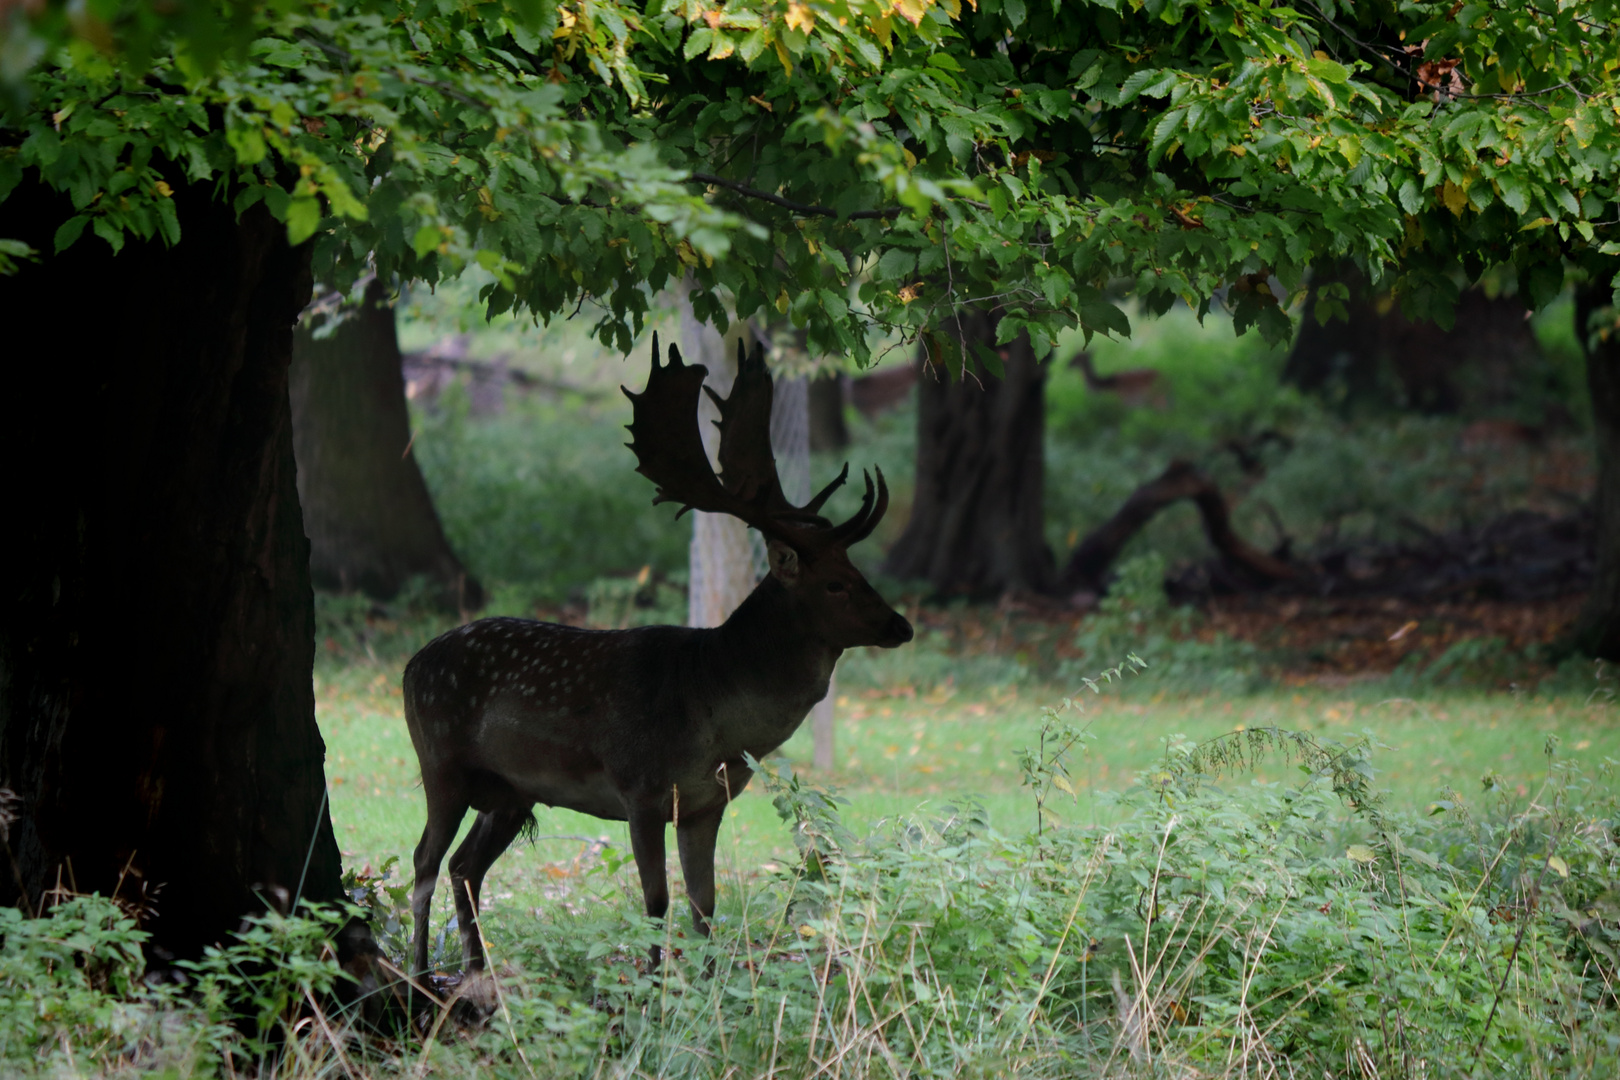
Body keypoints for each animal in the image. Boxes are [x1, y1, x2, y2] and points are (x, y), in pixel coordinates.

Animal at [401, 335, 913, 977]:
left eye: (857, 569)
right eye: (836, 584)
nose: (901, 624)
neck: (712, 712)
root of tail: (409, 666)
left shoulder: (705, 803)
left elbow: (705, 904)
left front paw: (711, 986)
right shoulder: (638, 787)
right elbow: (656, 898)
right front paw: (652, 984)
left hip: (511, 791)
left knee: (464, 865)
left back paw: (478, 971)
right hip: (439, 761)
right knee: (423, 861)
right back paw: (421, 974)